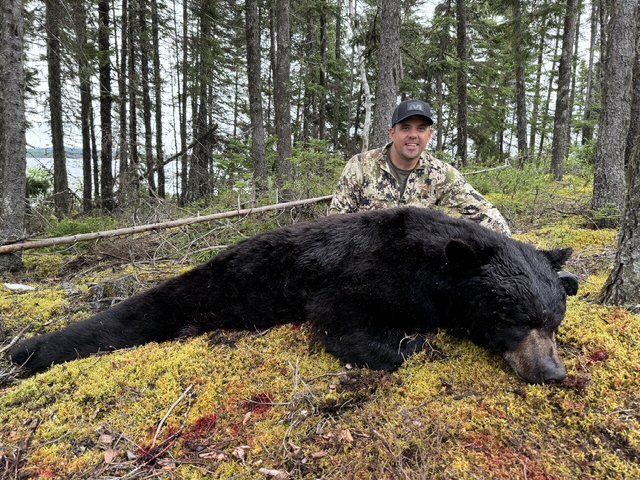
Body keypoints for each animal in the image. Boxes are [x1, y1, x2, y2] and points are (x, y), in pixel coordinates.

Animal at [7, 207, 577, 384]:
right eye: (514, 318)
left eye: (554, 321)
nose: (553, 373)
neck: (430, 267)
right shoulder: (364, 276)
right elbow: (344, 322)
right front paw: (408, 344)